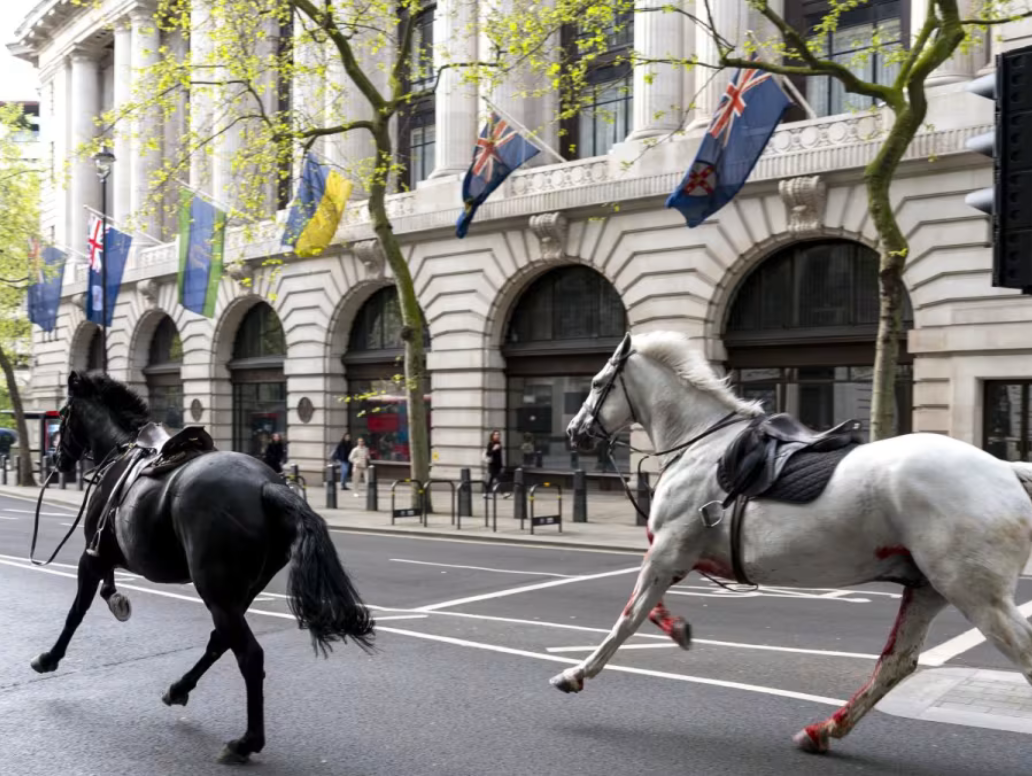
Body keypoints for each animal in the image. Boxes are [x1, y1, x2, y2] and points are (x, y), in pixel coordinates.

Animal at [42, 369, 377, 763]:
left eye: (63, 415)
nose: (55, 459)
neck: (121, 451)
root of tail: (267, 486)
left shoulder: (92, 554)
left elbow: (76, 611)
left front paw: (49, 658)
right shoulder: (106, 553)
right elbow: (104, 590)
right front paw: (116, 601)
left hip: (214, 589)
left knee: (248, 655)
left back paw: (245, 742)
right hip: (239, 592)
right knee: (221, 641)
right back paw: (179, 689)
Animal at [553, 332, 1032, 751]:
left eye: (596, 382)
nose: (574, 432)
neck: (700, 445)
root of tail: (1007, 470)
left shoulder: (668, 552)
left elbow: (629, 618)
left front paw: (576, 674)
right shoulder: (673, 556)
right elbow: (649, 611)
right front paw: (678, 629)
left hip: (974, 592)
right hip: (929, 588)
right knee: (896, 663)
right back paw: (823, 731)